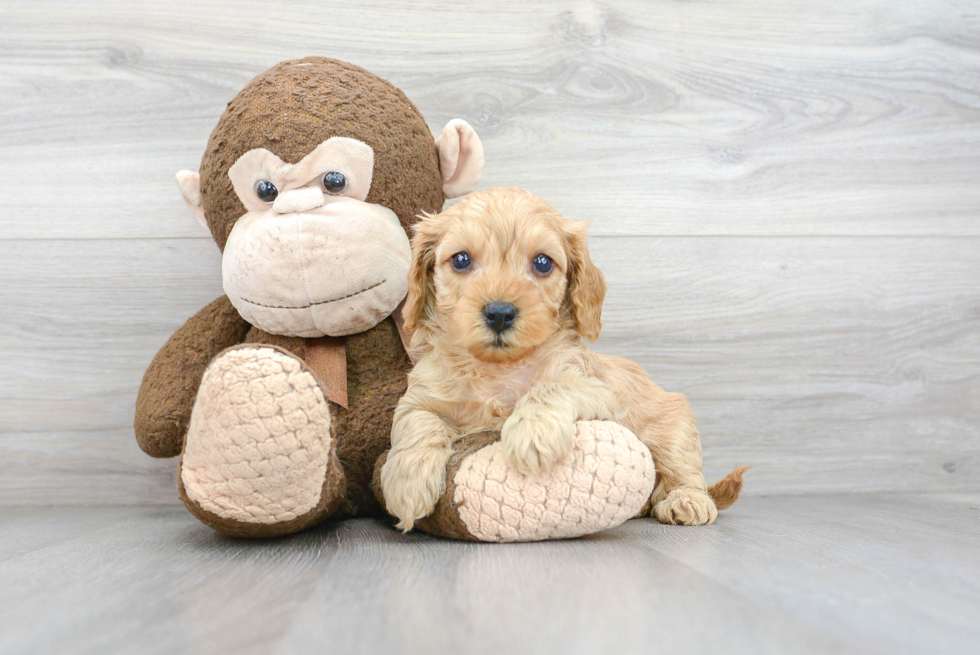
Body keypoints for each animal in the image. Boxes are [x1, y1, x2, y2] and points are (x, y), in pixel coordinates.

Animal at [378, 186, 748, 532]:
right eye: (460, 260)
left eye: (542, 263)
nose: (499, 313)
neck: (498, 369)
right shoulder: (420, 397)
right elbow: (416, 424)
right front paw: (406, 483)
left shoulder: (596, 390)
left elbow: (548, 389)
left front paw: (531, 435)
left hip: (675, 426)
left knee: (683, 470)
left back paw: (686, 500)